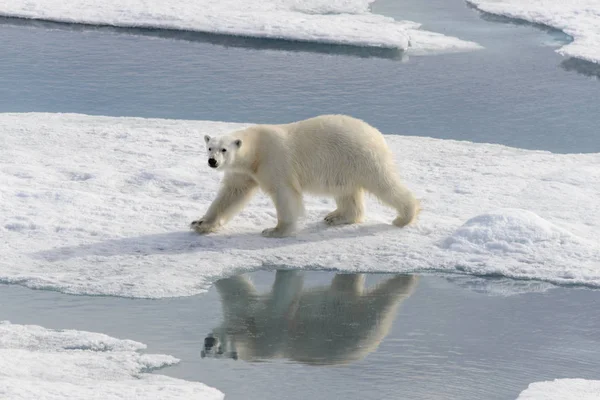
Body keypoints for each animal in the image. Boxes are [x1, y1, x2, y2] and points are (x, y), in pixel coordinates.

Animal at [191, 113, 418, 238]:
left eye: (224, 150)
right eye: (210, 148)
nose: (212, 162)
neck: (256, 150)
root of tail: (376, 133)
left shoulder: (274, 161)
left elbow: (284, 194)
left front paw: (275, 230)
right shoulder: (244, 171)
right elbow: (231, 194)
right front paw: (200, 224)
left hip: (360, 156)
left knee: (383, 184)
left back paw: (404, 217)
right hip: (343, 166)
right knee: (347, 192)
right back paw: (336, 216)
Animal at [202, 270, 418, 364]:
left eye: (220, 351)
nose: (208, 343)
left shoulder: (267, 334)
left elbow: (281, 301)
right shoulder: (240, 311)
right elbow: (234, 287)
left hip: (350, 319)